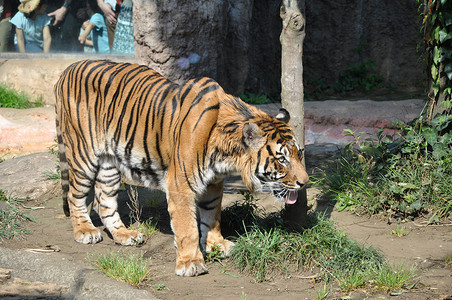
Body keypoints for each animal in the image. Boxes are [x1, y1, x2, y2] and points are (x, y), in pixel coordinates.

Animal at [53, 59, 308, 278]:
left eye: (300, 153)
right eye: (282, 159)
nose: (305, 182)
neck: (225, 155)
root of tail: (67, 70)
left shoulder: (213, 183)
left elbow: (212, 215)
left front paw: (217, 244)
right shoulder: (180, 184)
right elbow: (188, 227)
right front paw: (191, 263)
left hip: (109, 164)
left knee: (103, 200)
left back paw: (125, 235)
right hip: (83, 155)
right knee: (75, 195)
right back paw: (85, 231)